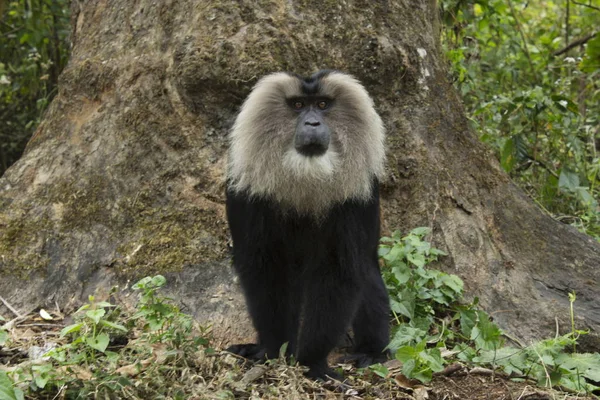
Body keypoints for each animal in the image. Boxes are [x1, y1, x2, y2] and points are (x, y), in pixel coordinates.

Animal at [225, 70, 390, 380]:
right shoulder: (247, 196)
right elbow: (264, 271)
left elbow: (340, 272)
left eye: (323, 105)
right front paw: (272, 352)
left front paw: (312, 362)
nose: (313, 123)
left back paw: (371, 352)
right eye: (298, 105)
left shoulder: (355, 199)